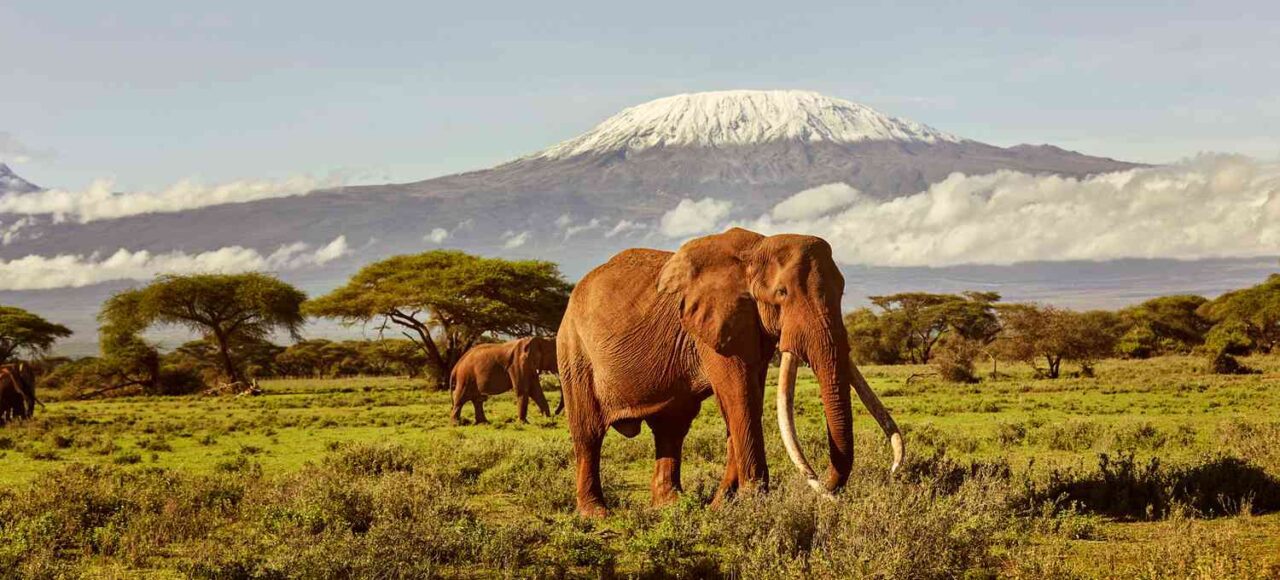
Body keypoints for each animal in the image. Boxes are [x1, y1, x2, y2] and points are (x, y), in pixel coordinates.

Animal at [555, 226, 906, 514]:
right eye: (782, 294)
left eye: (842, 291)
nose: (829, 488)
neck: (757, 248)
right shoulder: (713, 324)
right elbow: (740, 395)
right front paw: (753, 500)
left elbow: (748, 397)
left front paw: (723, 504)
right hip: (573, 350)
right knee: (588, 432)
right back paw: (596, 513)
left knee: (671, 428)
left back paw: (671, 505)